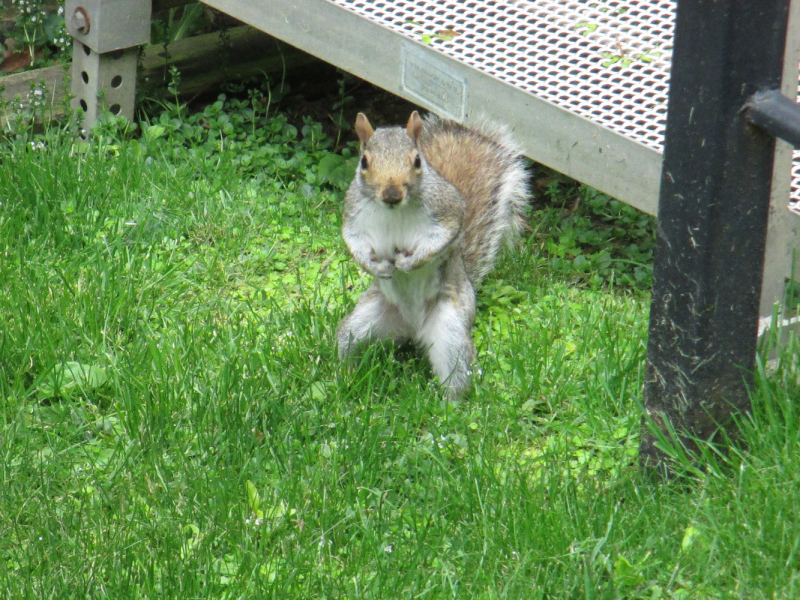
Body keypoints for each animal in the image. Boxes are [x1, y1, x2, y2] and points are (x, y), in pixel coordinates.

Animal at [334, 112, 528, 398]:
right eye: (364, 161)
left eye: (417, 160)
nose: (392, 194)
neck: (393, 211)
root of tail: (411, 328)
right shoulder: (352, 215)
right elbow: (353, 242)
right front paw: (377, 267)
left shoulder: (447, 212)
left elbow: (440, 240)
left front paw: (408, 262)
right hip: (362, 320)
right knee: (347, 344)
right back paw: (344, 378)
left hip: (450, 328)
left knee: (456, 372)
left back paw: (448, 404)